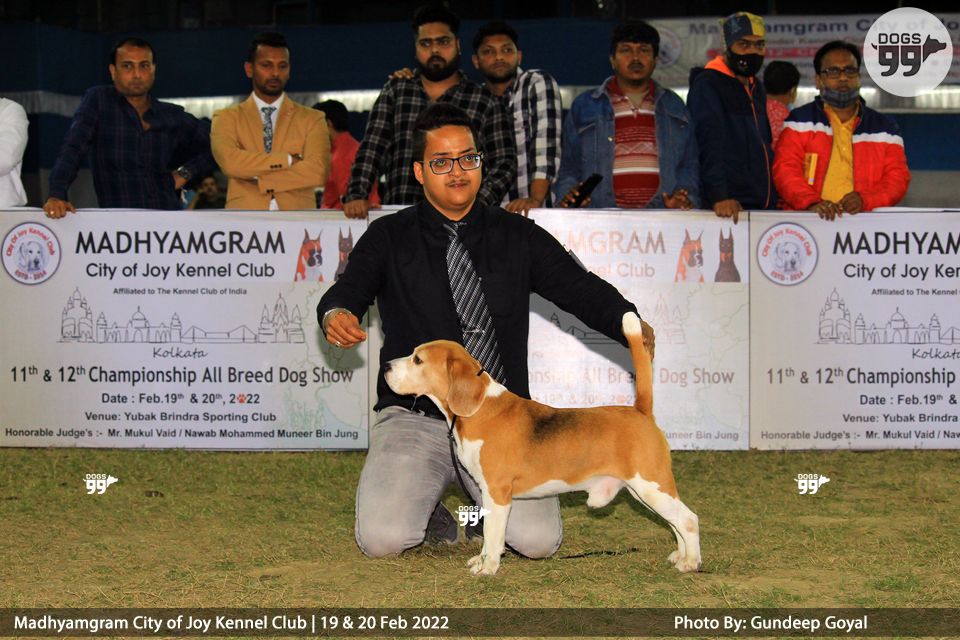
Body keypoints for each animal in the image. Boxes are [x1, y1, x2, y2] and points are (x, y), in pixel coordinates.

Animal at [384, 312, 700, 576]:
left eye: (417, 360)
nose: (385, 365)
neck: (480, 408)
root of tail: (640, 411)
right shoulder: (486, 493)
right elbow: (489, 535)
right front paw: (482, 560)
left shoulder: (498, 493)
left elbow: (494, 535)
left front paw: (489, 566)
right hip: (644, 490)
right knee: (675, 522)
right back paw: (680, 555)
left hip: (652, 486)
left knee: (688, 519)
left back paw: (691, 562)